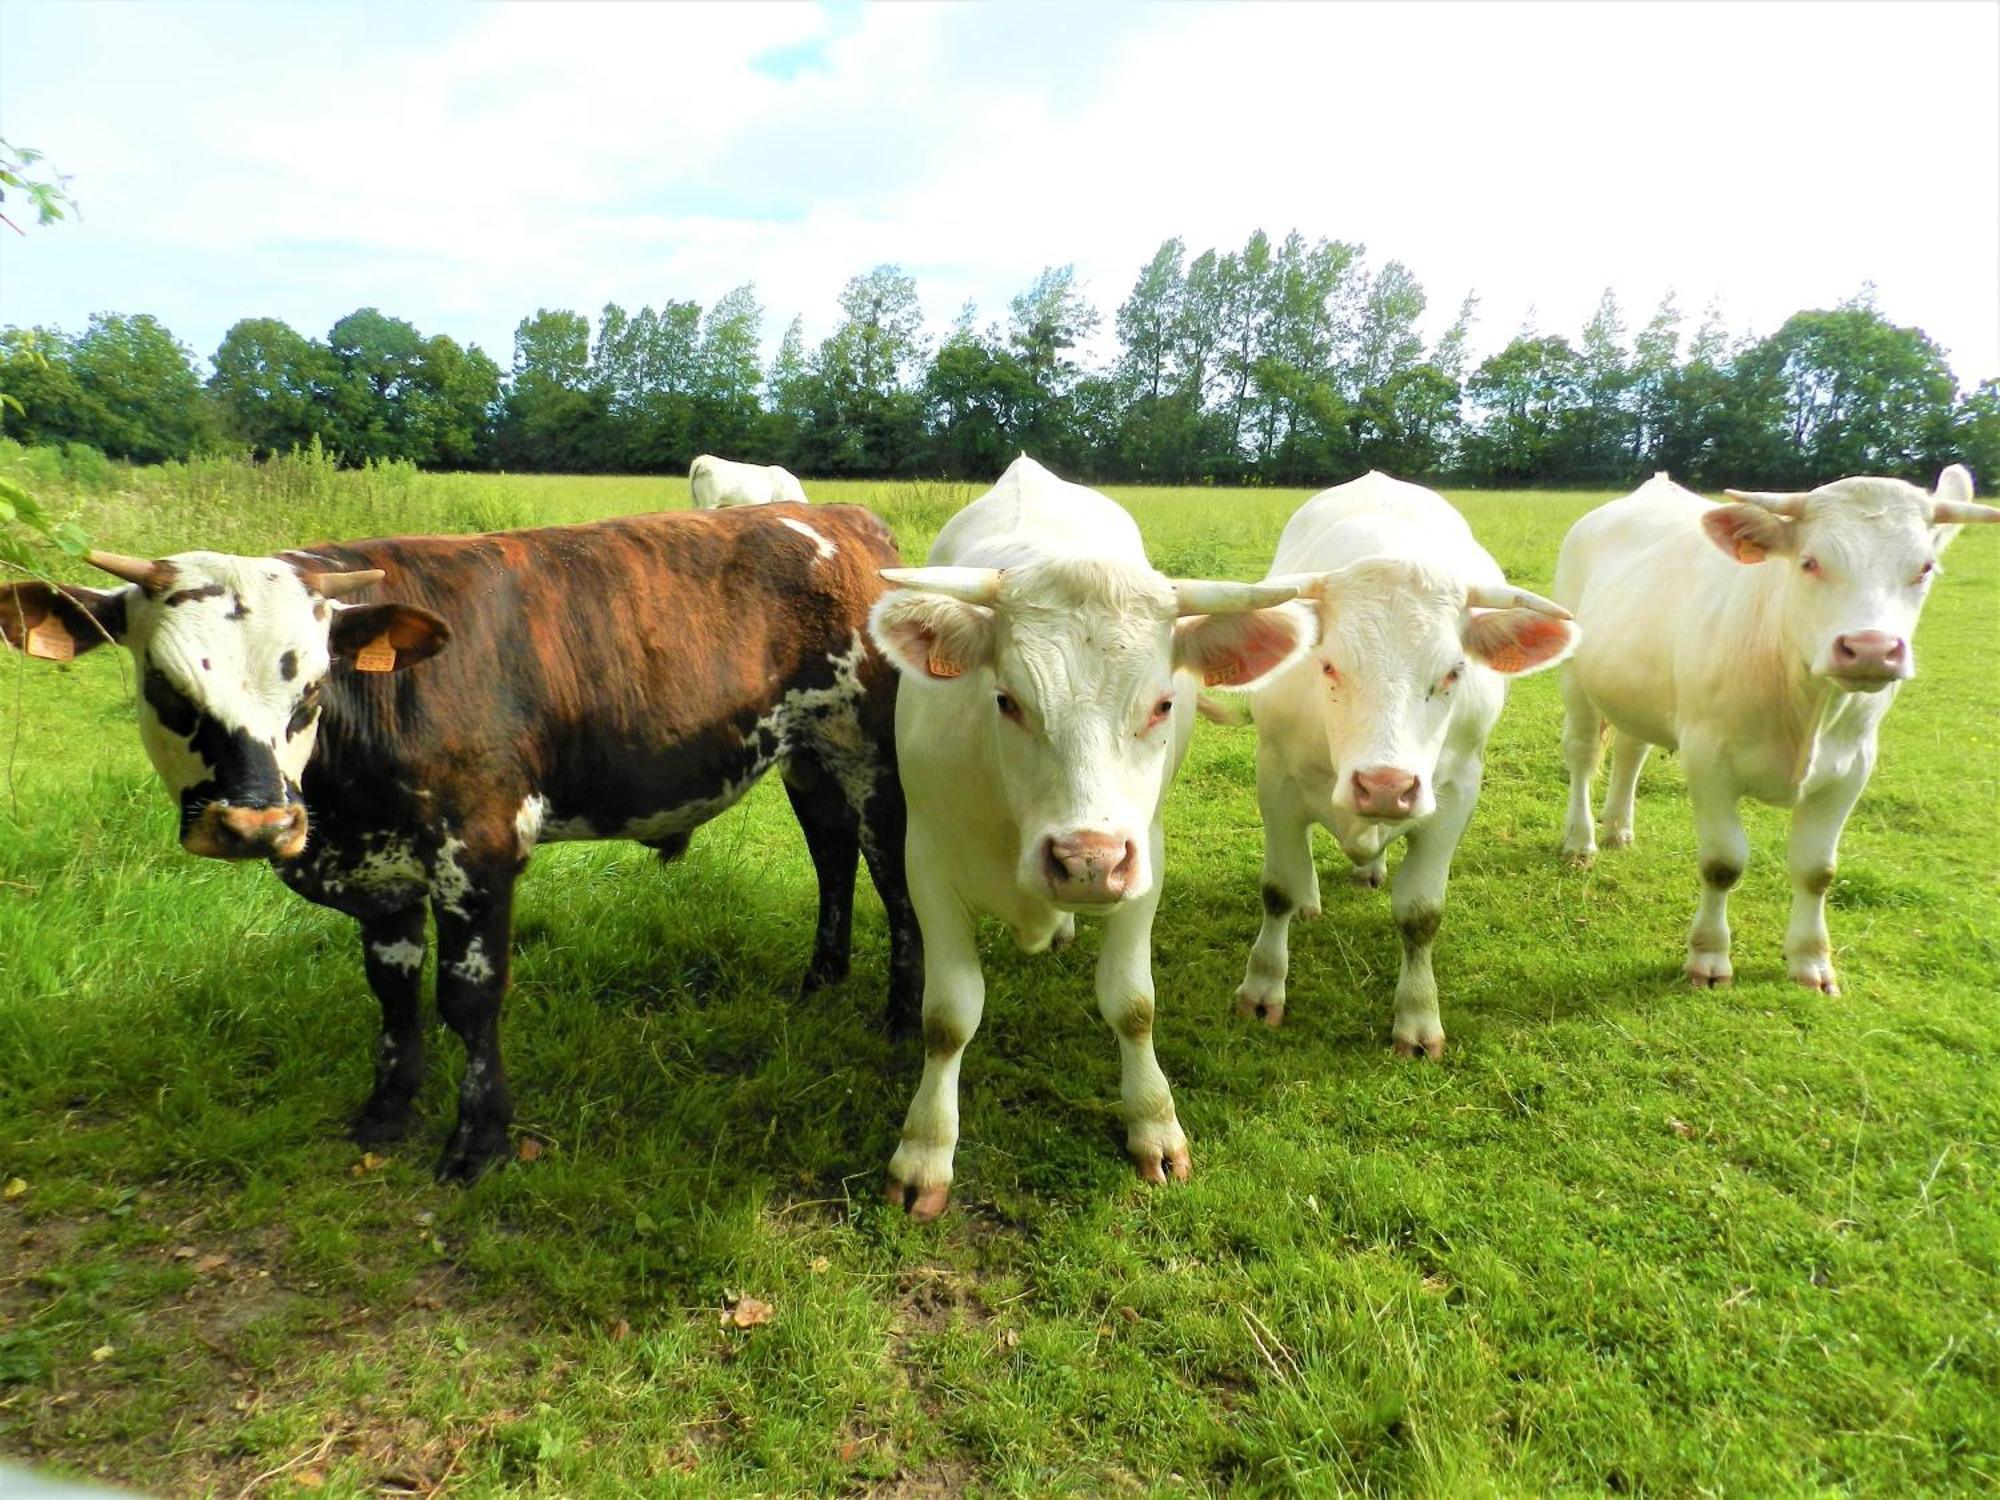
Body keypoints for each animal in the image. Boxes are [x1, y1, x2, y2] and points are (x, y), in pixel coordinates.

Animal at [0, 506, 920, 1184]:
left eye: (312, 688)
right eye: (164, 686)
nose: (257, 823)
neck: (341, 800)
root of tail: (839, 517)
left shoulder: (478, 851)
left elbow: (468, 999)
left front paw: (478, 1141)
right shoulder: (380, 872)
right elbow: (393, 992)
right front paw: (387, 1107)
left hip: (875, 757)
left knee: (895, 876)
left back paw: (902, 1019)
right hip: (805, 754)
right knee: (832, 852)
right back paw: (820, 978)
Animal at [864, 456, 1312, 1224]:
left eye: (1162, 703)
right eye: (1007, 700)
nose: (1085, 862)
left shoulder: (1145, 861)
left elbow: (1133, 1004)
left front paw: (1153, 1123)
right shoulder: (926, 863)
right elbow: (948, 1018)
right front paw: (924, 1151)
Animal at [1232, 472, 1576, 1056]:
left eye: (1453, 672)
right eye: (1329, 665)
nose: (1384, 786)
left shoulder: (1456, 795)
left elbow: (1421, 914)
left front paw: (1417, 1015)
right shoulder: (1274, 775)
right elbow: (1277, 888)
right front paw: (1263, 988)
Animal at [1560, 464, 2000, 992]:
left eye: (1925, 568)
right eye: (1810, 562)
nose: (1870, 649)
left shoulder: (1853, 766)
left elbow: (1817, 870)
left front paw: (1811, 962)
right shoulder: (1707, 757)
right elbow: (1722, 863)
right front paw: (1709, 957)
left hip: (1638, 688)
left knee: (1630, 752)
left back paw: (1619, 829)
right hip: (1575, 675)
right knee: (1584, 756)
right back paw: (1581, 840)